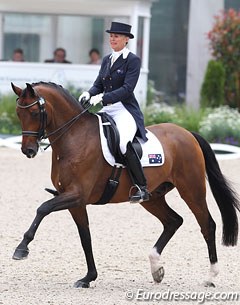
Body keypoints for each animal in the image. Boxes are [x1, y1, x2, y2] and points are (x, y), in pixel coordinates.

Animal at [11, 81, 240, 288]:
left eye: (34, 113)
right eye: (18, 113)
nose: (28, 150)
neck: (74, 137)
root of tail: (188, 133)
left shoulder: (76, 194)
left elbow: (43, 208)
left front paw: (21, 249)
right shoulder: (75, 201)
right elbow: (85, 237)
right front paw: (89, 277)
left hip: (192, 190)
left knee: (207, 225)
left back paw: (210, 276)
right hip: (152, 197)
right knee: (173, 221)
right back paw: (156, 268)